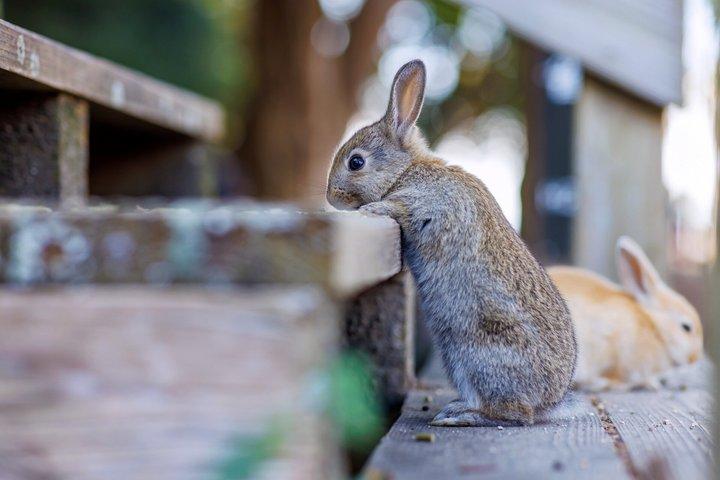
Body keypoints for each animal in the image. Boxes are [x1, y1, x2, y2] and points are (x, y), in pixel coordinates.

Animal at [326, 59, 577, 426]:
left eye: (356, 162)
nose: (331, 197)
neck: (406, 171)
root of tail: (551, 399)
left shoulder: (425, 205)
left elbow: (399, 208)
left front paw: (372, 208)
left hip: (475, 354)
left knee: (514, 412)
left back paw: (459, 416)